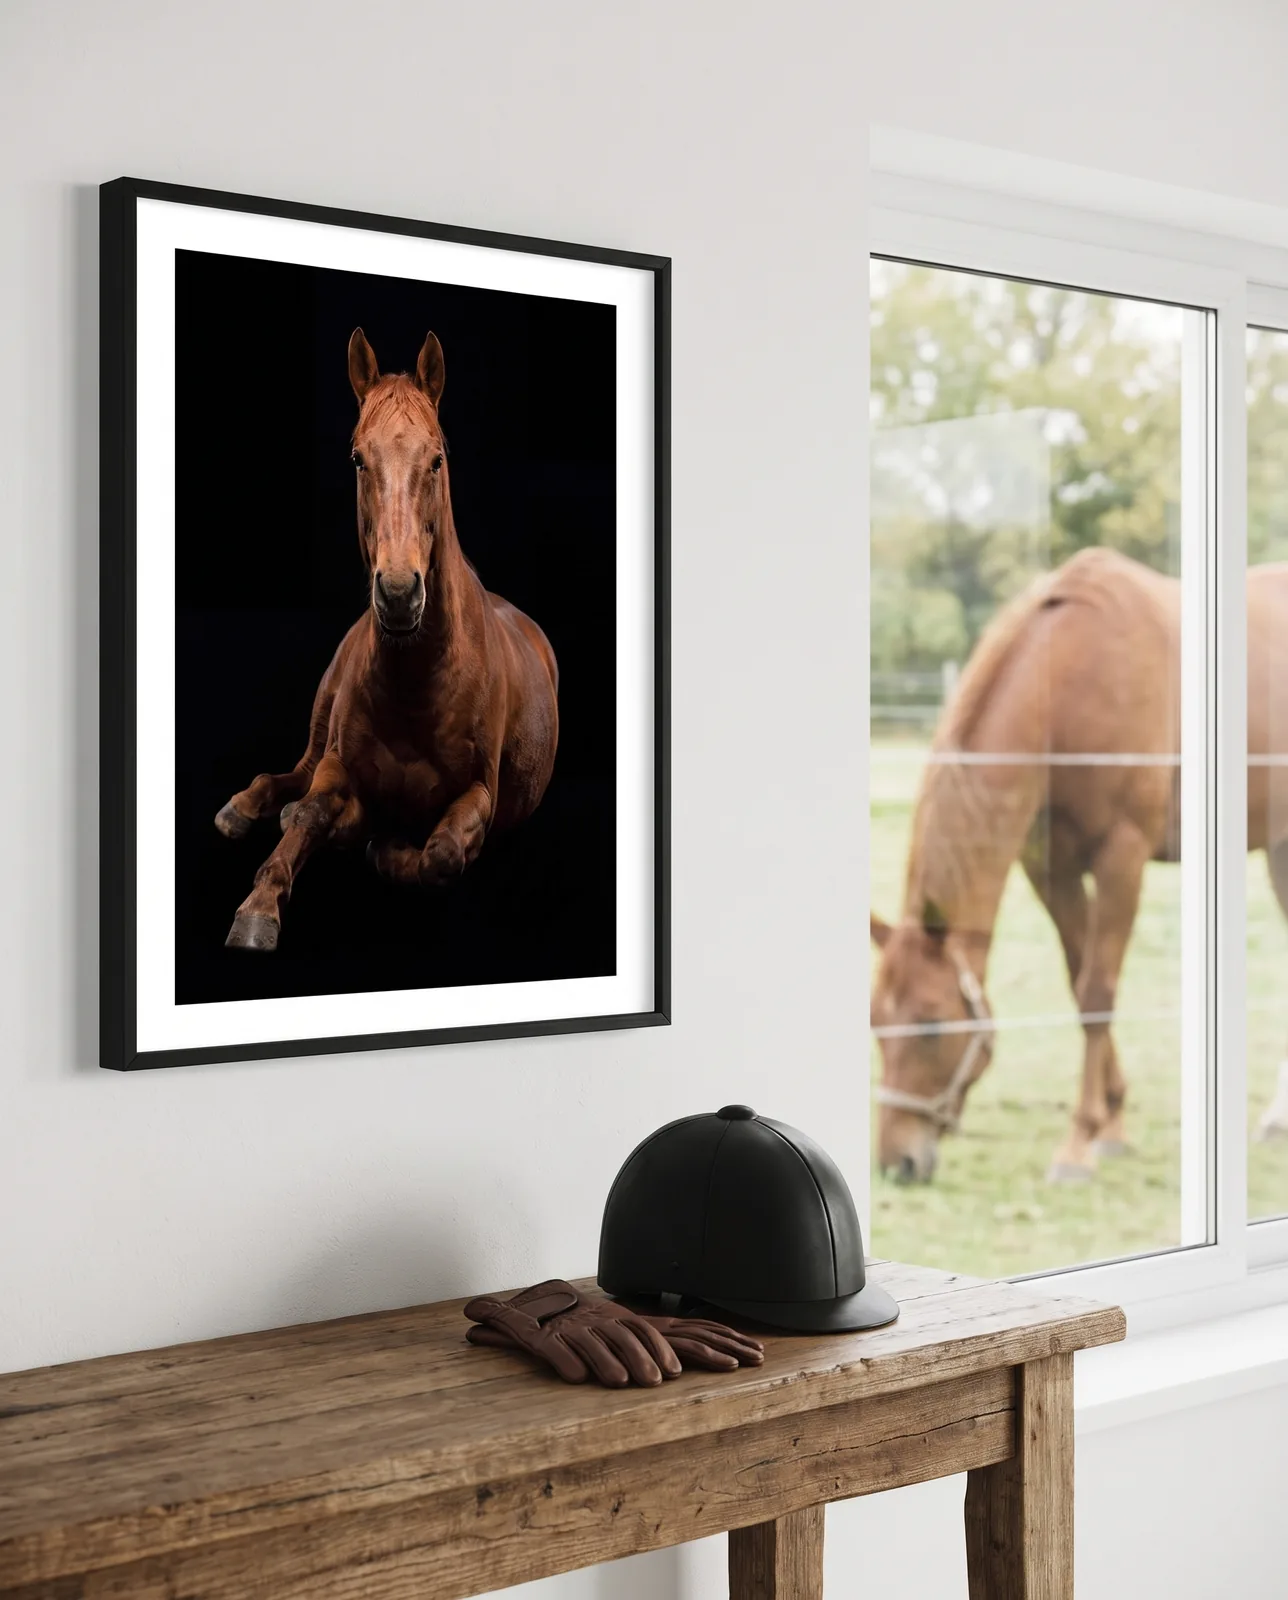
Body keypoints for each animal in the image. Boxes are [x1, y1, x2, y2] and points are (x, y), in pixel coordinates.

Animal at [212, 328, 559, 953]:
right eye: (357, 458)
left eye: (437, 459)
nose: (398, 594)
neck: (418, 679)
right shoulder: (336, 765)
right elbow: (310, 813)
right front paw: (259, 906)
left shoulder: (481, 794)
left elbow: (440, 856)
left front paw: (385, 847)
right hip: (320, 725)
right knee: (292, 774)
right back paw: (245, 807)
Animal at [870, 546, 1288, 1184]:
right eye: (874, 1022)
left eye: (930, 1026)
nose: (898, 1163)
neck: (1072, 675)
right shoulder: (1051, 868)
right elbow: (1077, 978)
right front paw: (1111, 1124)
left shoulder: (1122, 858)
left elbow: (1097, 992)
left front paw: (1077, 1144)